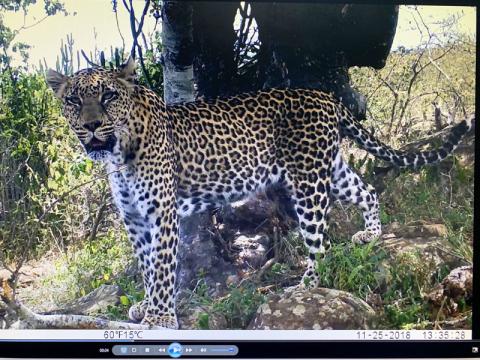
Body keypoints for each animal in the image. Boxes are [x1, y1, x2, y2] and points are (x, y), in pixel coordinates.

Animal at [47, 58, 474, 330]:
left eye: (108, 96)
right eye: (73, 100)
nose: (91, 125)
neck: (118, 152)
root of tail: (326, 96)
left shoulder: (160, 214)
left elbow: (164, 267)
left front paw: (160, 317)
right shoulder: (134, 220)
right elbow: (148, 268)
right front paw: (145, 306)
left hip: (308, 182)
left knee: (321, 243)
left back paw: (305, 288)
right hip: (332, 169)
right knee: (366, 190)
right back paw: (370, 234)